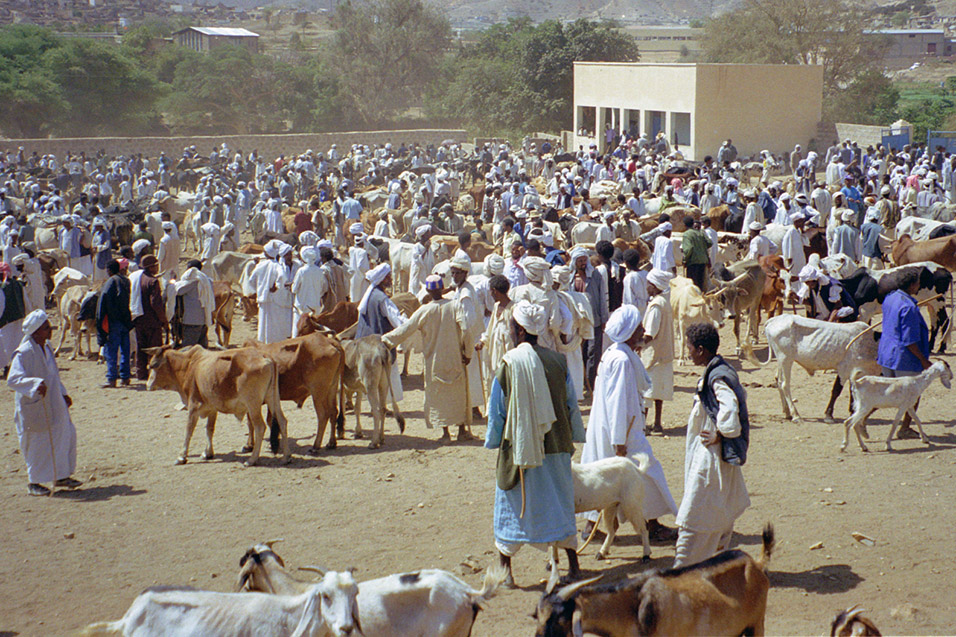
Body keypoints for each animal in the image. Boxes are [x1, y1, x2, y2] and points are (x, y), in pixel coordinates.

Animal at [144, 346, 288, 464]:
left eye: (152, 366)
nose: (147, 385)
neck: (189, 365)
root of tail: (265, 357)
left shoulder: (193, 406)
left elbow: (189, 430)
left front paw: (182, 456)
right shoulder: (212, 408)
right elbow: (209, 429)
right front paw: (207, 453)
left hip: (253, 404)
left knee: (260, 427)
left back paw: (252, 459)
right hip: (273, 398)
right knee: (282, 421)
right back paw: (286, 457)